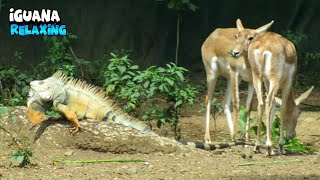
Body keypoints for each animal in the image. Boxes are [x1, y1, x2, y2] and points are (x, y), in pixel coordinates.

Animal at [231, 19, 314, 155]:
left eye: (250, 37)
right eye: (299, 112)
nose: (292, 135)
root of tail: (262, 48)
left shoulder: (266, 81)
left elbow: (274, 105)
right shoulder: (287, 82)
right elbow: (282, 108)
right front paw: (281, 146)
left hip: (257, 77)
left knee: (261, 103)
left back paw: (257, 145)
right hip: (274, 79)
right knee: (268, 102)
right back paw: (269, 147)